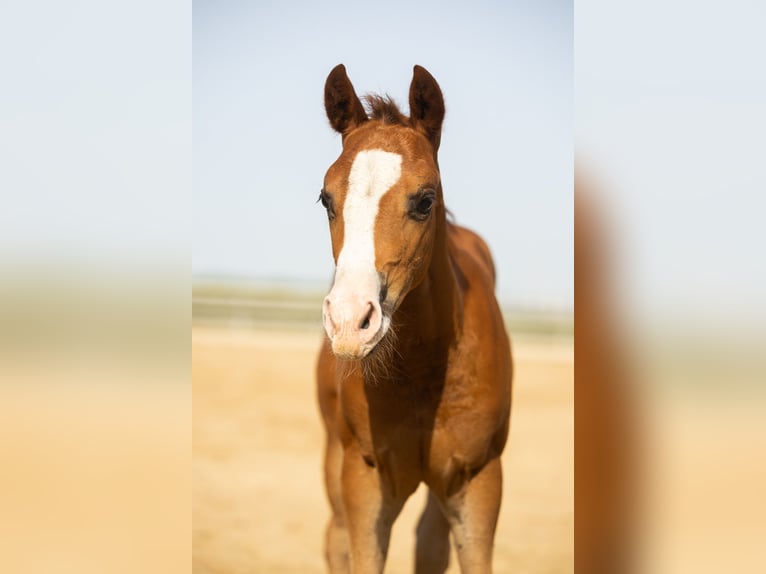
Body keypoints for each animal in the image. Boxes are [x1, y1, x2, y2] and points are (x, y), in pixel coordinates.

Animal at [315, 64, 513, 574]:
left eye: (425, 200)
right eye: (325, 199)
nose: (350, 322)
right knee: (335, 538)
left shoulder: (477, 479)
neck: (423, 367)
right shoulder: (365, 478)